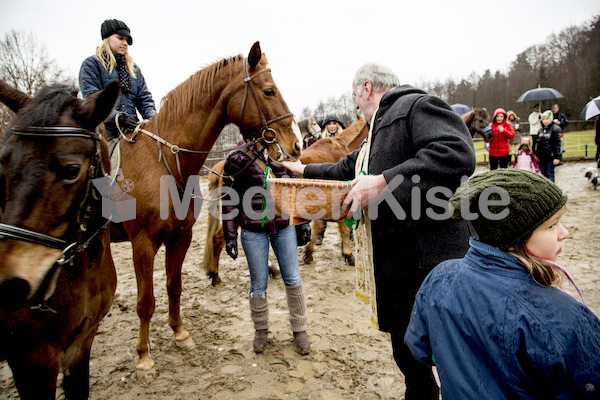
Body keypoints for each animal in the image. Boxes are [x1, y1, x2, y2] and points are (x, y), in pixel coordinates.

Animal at [110, 41, 302, 372]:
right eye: (268, 91)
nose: (296, 145)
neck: (162, 162)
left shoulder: (180, 237)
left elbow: (174, 286)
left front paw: (180, 334)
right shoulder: (143, 244)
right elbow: (146, 301)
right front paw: (144, 356)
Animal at [202, 114, 368, 286]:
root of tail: (221, 168)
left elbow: (317, 227)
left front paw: (309, 252)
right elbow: (342, 228)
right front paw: (348, 255)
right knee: (219, 238)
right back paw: (216, 274)